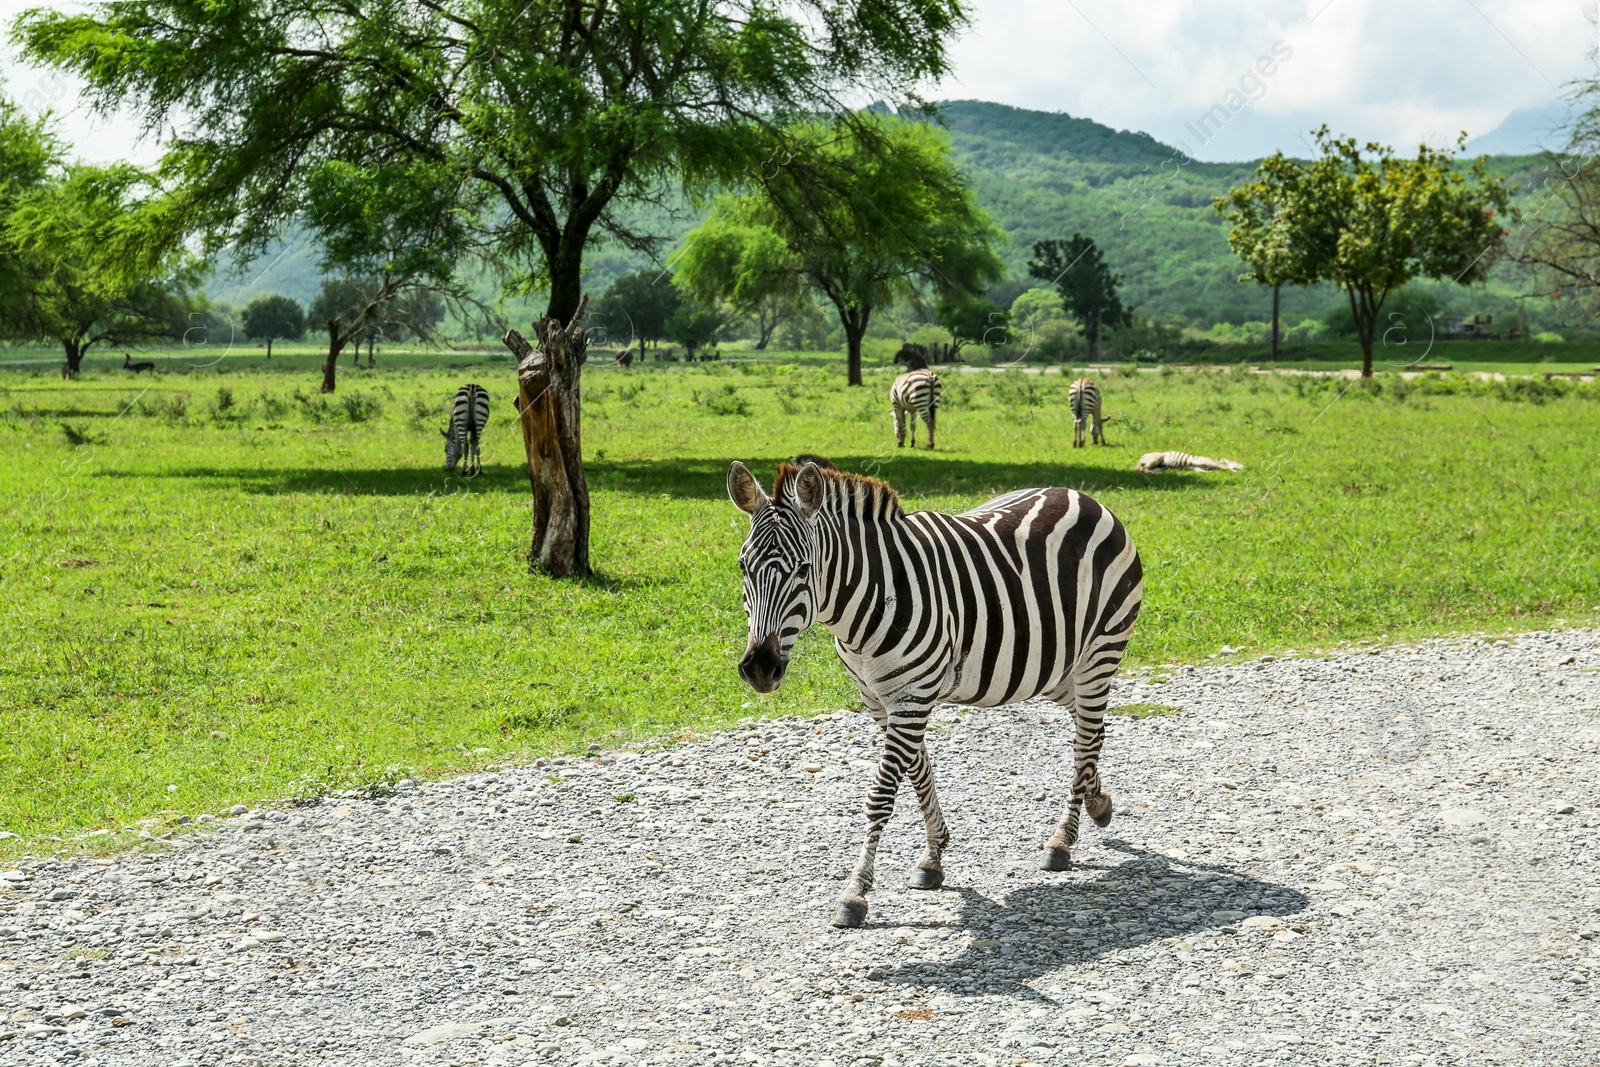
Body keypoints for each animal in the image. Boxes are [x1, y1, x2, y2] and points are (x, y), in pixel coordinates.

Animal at [732, 460, 1145, 927]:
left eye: (803, 569)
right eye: (743, 567)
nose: (759, 668)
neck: (870, 599)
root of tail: (1082, 495)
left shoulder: (912, 695)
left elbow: (882, 795)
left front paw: (855, 893)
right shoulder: (879, 699)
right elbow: (918, 772)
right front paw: (933, 857)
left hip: (1100, 650)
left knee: (1085, 739)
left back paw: (1061, 840)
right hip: (1053, 668)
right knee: (1091, 729)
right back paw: (1098, 803)